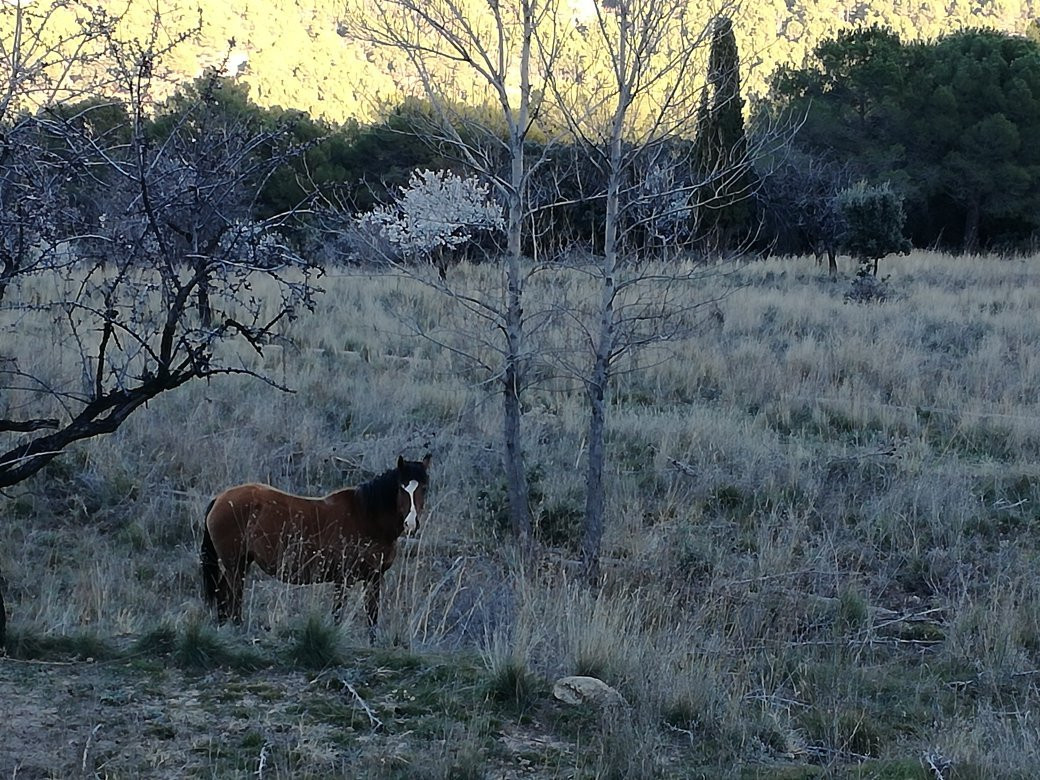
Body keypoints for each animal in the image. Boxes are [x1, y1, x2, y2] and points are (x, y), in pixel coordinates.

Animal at [198, 455, 430, 632]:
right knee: (232, 597)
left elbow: (372, 616)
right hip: (234, 565)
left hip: (241, 563)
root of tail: (219, 499)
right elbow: (338, 613)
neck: (366, 516)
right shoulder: (343, 578)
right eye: (401, 488)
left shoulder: (374, 577)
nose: (411, 523)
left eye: (425, 487)